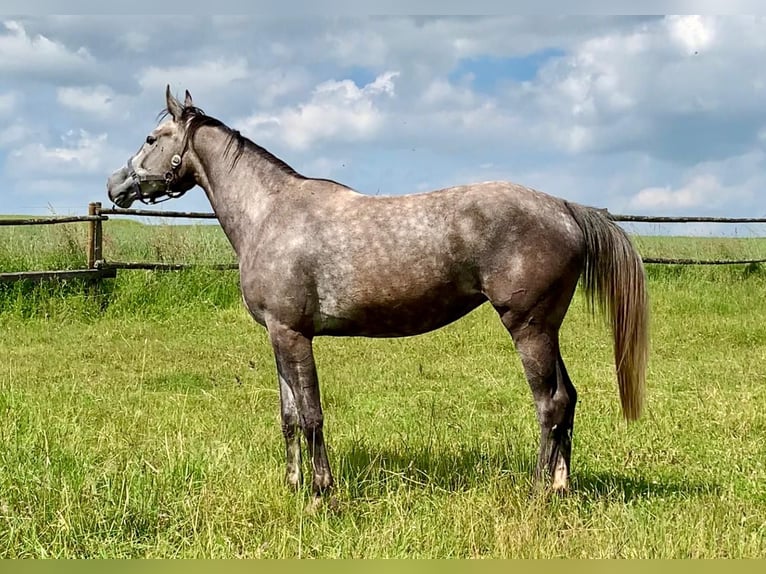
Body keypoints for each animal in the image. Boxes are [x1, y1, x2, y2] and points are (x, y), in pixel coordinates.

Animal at [106, 86, 648, 508]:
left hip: (528, 326)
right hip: (546, 329)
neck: (270, 213)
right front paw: (293, 485)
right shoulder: (278, 336)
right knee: (568, 399)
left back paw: (537, 492)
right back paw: (560, 487)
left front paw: (321, 494)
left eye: (152, 139)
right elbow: (288, 416)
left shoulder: (293, 335)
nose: (115, 185)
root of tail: (565, 208)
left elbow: (311, 415)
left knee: (549, 403)